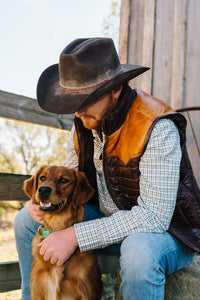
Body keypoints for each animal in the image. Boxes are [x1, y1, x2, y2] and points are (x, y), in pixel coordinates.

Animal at [24, 165, 103, 300]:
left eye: (63, 180)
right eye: (42, 178)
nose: (43, 189)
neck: (56, 227)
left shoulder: (88, 291)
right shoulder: (37, 289)